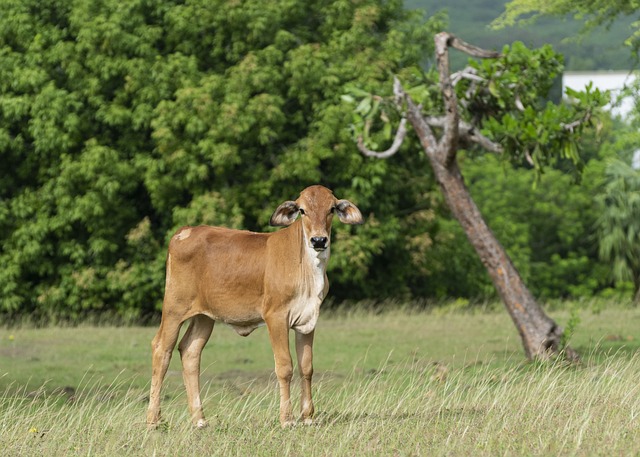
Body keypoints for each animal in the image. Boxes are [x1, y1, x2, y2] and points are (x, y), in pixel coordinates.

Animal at [147, 183, 362, 426]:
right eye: (302, 210)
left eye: (331, 209)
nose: (318, 240)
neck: (308, 269)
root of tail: (185, 231)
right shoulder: (276, 316)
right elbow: (285, 366)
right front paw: (287, 419)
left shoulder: (308, 319)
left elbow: (306, 367)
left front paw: (307, 416)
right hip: (174, 308)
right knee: (162, 349)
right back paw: (153, 419)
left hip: (204, 316)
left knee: (190, 352)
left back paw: (200, 419)